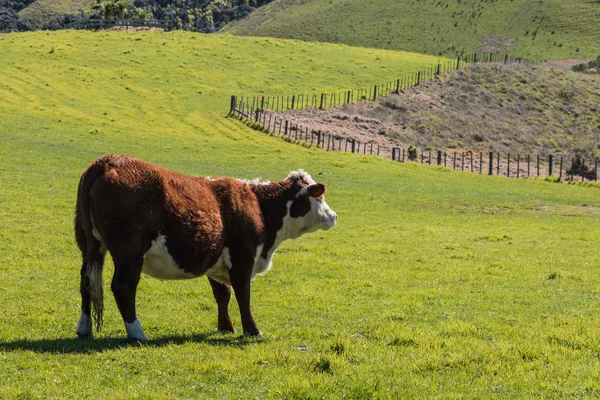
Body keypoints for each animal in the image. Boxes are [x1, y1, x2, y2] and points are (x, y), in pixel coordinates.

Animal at [74, 155, 338, 342]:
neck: (258, 205)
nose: (334, 216)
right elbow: (243, 294)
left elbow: (222, 294)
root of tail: (108, 160)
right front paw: (252, 331)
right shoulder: (243, 258)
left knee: (86, 282)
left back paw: (84, 329)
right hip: (129, 252)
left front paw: (226, 327)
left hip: (89, 246)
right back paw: (138, 333)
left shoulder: (216, 259)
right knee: (123, 287)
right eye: (319, 198)